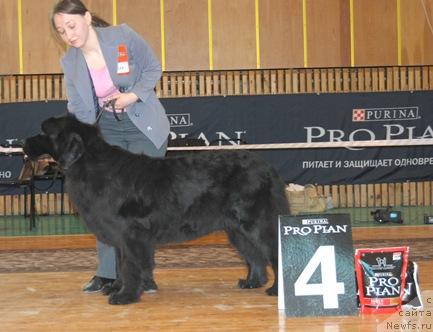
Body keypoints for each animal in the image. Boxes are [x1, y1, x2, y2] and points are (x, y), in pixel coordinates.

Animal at [22, 115, 286, 304]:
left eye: (44, 132)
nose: (22, 142)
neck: (90, 163)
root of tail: (266, 167)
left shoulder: (131, 233)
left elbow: (130, 264)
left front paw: (124, 296)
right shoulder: (119, 234)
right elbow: (120, 263)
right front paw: (117, 288)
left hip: (256, 222)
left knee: (272, 250)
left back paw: (276, 290)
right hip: (236, 228)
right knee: (254, 255)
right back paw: (252, 282)